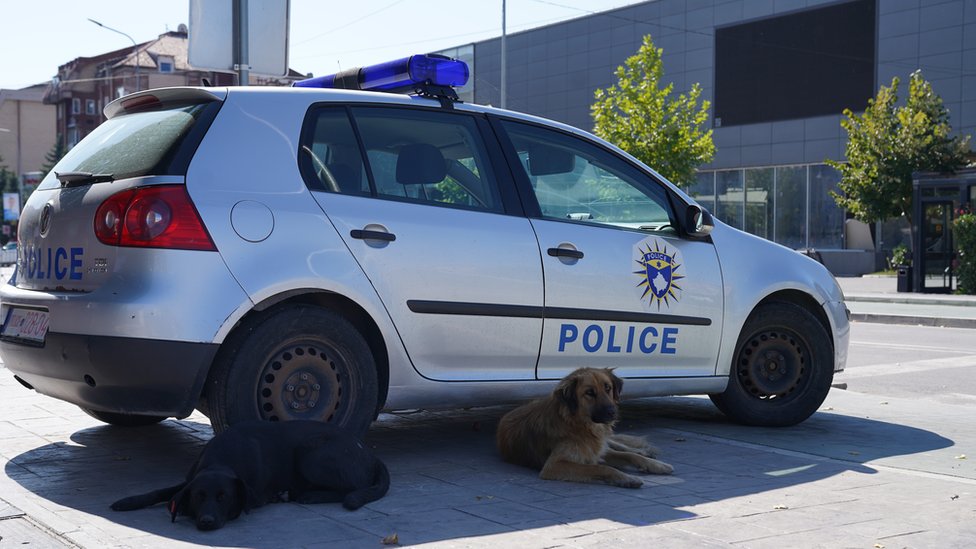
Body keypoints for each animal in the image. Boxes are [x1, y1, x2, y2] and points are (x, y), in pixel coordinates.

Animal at [111, 420, 388, 532]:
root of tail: (369, 453)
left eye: (224, 497)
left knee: (351, 488)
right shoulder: (189, 480)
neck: (223, 459)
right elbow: (159, 491)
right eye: (199, 497)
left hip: (310, 453)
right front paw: (128, 501)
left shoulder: (254, 496)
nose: (207, 522)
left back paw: (310, 495)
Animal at [496, 366, 672, 486]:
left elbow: (629, 455)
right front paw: (627, 478)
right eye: (589, 393)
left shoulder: (597, 451)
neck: (578, 425)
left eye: (608, 388)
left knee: (619, 445)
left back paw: (645, 452)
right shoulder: (555, 465)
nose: (613, 412)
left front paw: (657, 465)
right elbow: (601, 468)